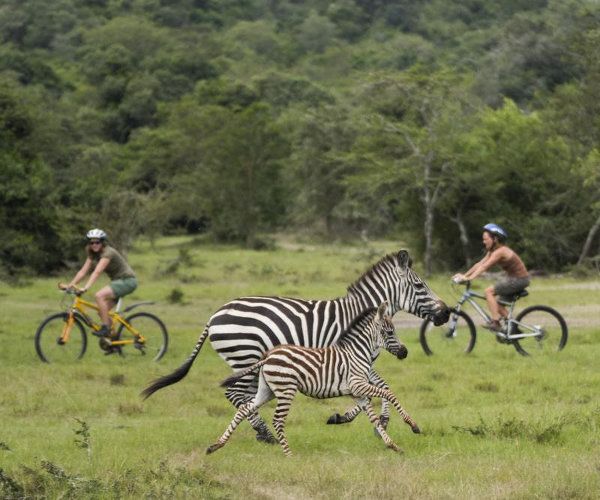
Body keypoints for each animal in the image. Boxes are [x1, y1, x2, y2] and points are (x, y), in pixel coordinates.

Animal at [143, 250, 448, 442]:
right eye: (420, 286)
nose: (446, 314)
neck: (360, 315)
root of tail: (214, 315)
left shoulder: (354, 364)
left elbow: (378, 388)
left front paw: (356, 419)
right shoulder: (351, 358)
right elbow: (380, 387)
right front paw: (375, 422)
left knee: (241, 395)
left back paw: (260, 431)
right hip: (245, 356)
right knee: (236, 394)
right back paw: (265, 433)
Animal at [206, 300, 422, 458]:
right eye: (390, 332)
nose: (404, 352)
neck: (357, 352)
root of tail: (267, 355)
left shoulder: (357, 392)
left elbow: (374, 418)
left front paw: (393, 445)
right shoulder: (358, 384)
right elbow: (389, 393)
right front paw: (413, 425)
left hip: (267, 390)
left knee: (244, 409)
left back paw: (216, 445)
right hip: (286, 389)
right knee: (277, 420)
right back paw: (289, 455)